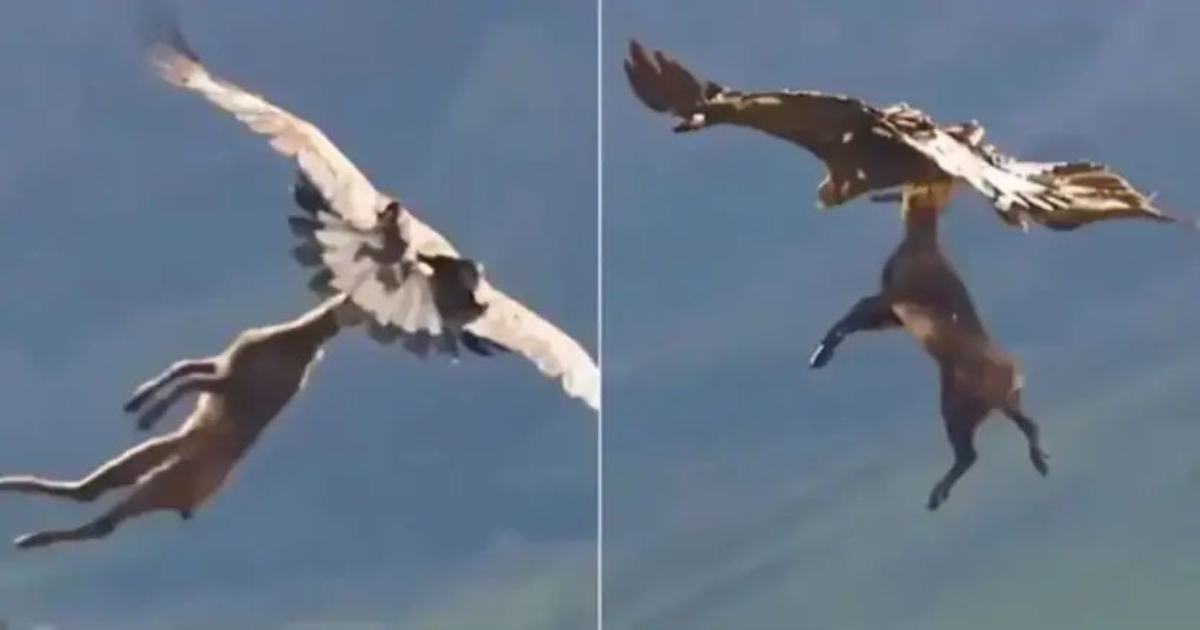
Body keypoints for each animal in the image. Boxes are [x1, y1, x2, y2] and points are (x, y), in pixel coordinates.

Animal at [0, 292, 360, 549]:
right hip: (158, 461)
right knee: (90, 492)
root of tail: (194, 504)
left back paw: (28, 535)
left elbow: (189, 380)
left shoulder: (236, 381)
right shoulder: (224, 364)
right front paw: (137, 401)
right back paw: (18, 502)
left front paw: (147, 415)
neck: (301, 338)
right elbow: (184, 367)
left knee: (103, 519)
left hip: (166, 480)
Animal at [807, 180, 1049, 511]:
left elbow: (849, 318)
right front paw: (821, 354)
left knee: (972, 451)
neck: (921, 245)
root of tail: (1014, 374)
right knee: (1016, 429)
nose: (879, 195)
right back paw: (1037, 463)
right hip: (991, 404)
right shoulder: (892, 316)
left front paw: (820, 355)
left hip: (959, 407)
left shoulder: (892, 299)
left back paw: (939, 495)